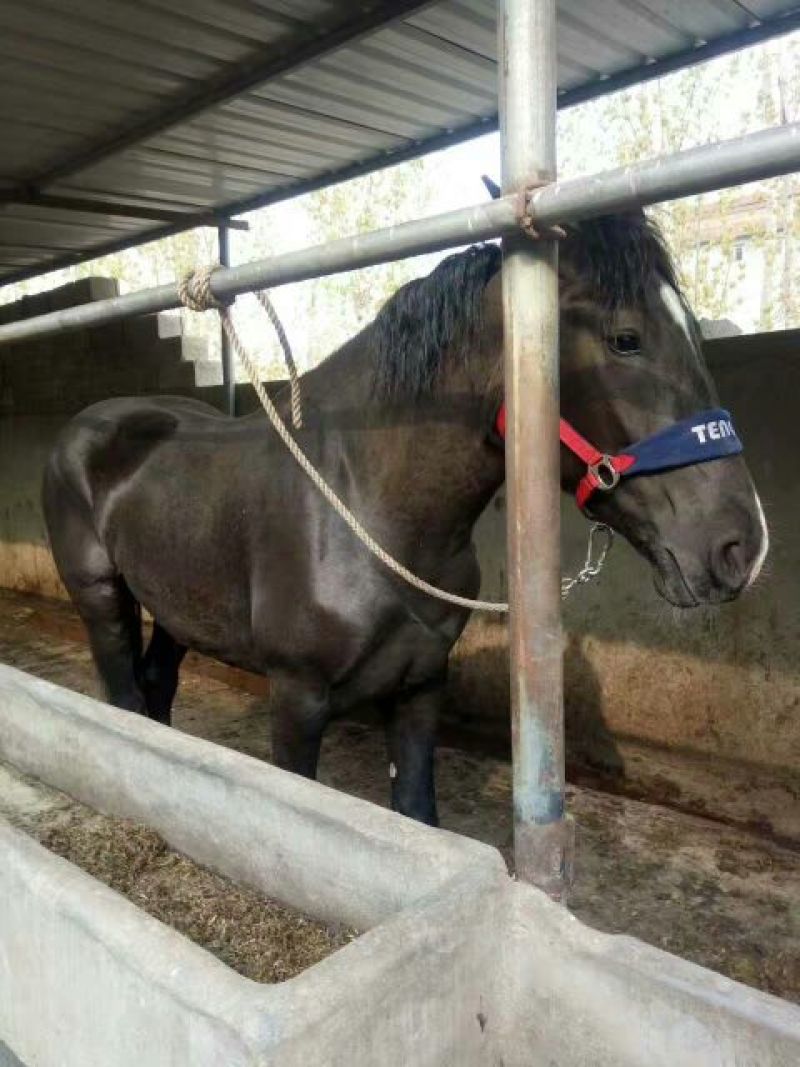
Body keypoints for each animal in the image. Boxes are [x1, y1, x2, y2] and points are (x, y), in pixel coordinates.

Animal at [42, 211, 768, 826]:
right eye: (625, 339)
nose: (741, 546)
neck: (365, 501)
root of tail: (85, 425)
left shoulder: (421, 687)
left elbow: (416, 815)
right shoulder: (297, 697)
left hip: (174, 608)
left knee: (157, 687)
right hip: (102, 598)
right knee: (125, 697)